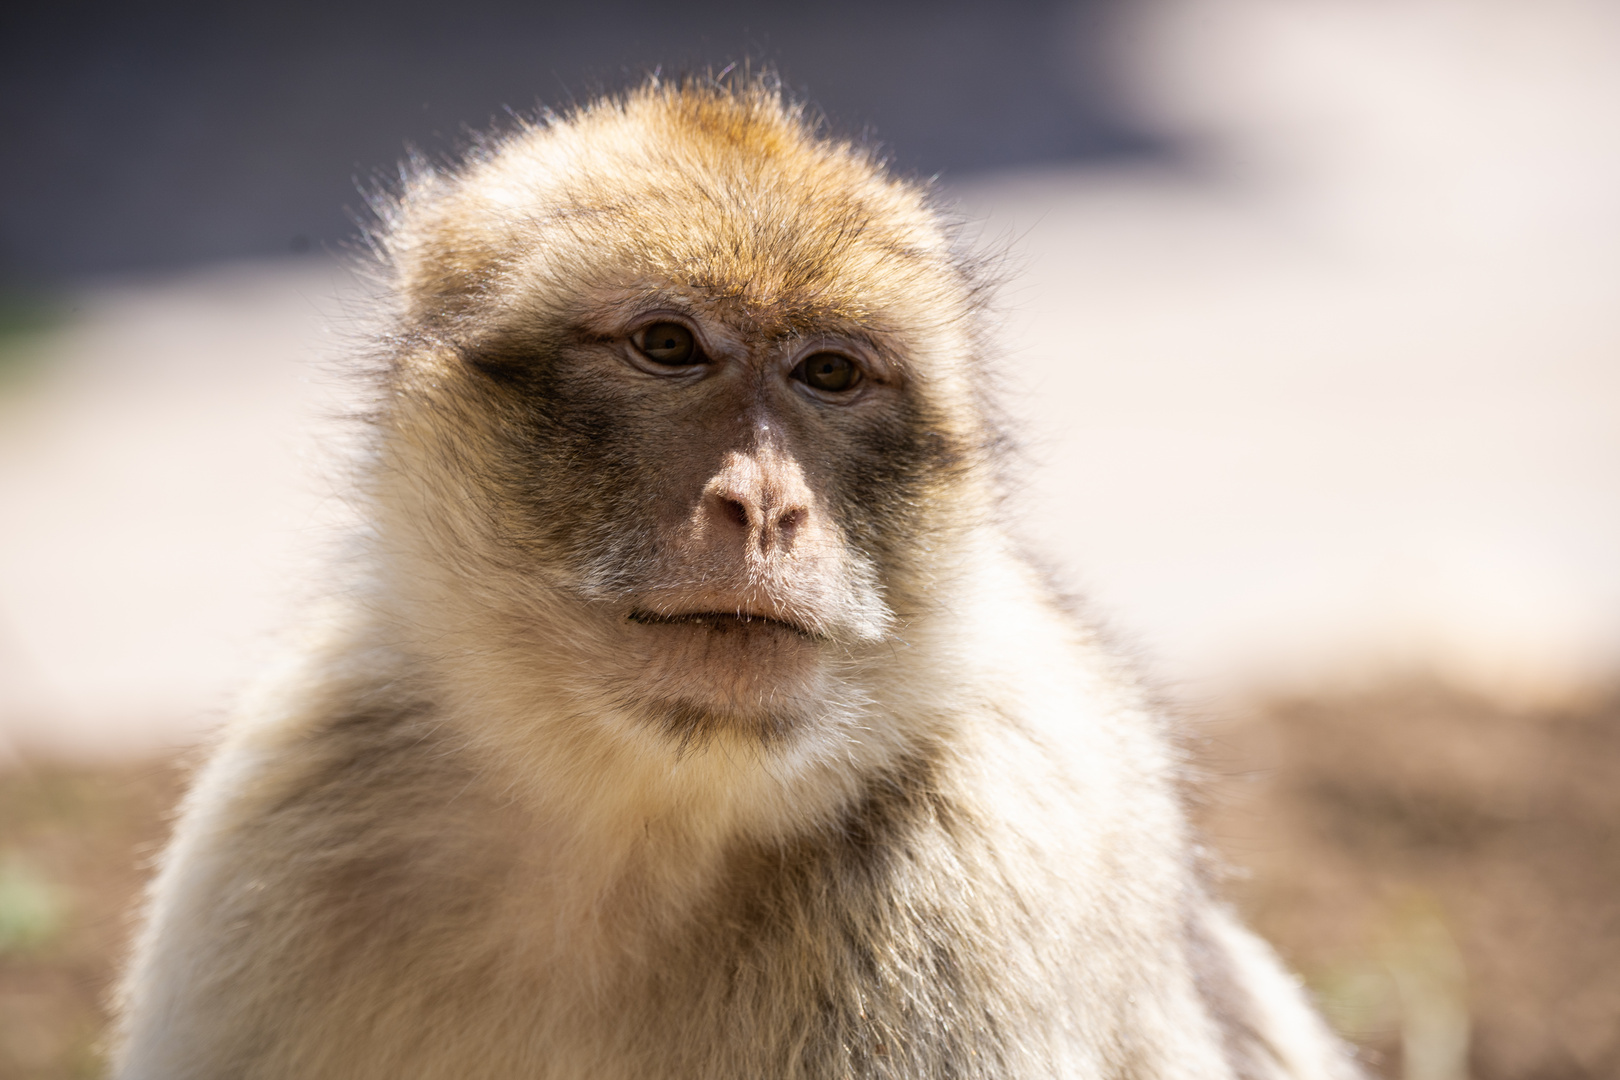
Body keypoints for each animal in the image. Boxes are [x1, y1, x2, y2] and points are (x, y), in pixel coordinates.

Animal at [110, 78, 1354, 1080]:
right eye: (669, 347)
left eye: (830, 374)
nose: (765, 504)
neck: (639, 818)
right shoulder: (289, 812)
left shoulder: (973, 873)